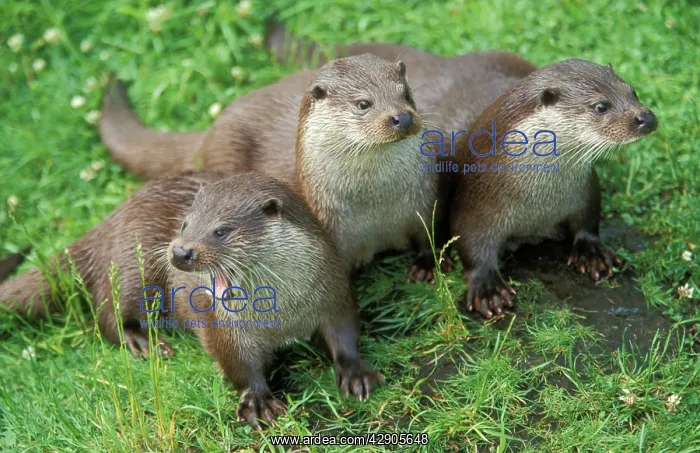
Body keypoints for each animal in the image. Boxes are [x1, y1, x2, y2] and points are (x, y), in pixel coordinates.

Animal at [0, 172, 380, 428]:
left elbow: (345, 332)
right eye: (185, 223)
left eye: (222, 230)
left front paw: (354, 372)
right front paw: (257, 401)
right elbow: (237, 364)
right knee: (108, 314)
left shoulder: (333, 291)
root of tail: (111, 220)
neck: (283, 313)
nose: (180, 251)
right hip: (133, 268)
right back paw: (143, 342)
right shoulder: (224, 326)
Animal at [101, 55, 439, 278]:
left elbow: (429, 236)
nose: (402, 117)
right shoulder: (328, 228)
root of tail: (212, 131)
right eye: (363, 104)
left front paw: (425, 266)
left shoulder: (422, 201)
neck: (375, 208)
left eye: (406, 94)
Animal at [445, 59, 657, 318]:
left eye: (632, 91)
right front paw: (487, 288)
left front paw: (592, 252)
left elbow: (589, 219)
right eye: (601, 106)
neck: (539, 205)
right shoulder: (475, 201)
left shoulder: (585, 190)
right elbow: (468, 239)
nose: (646, 117)